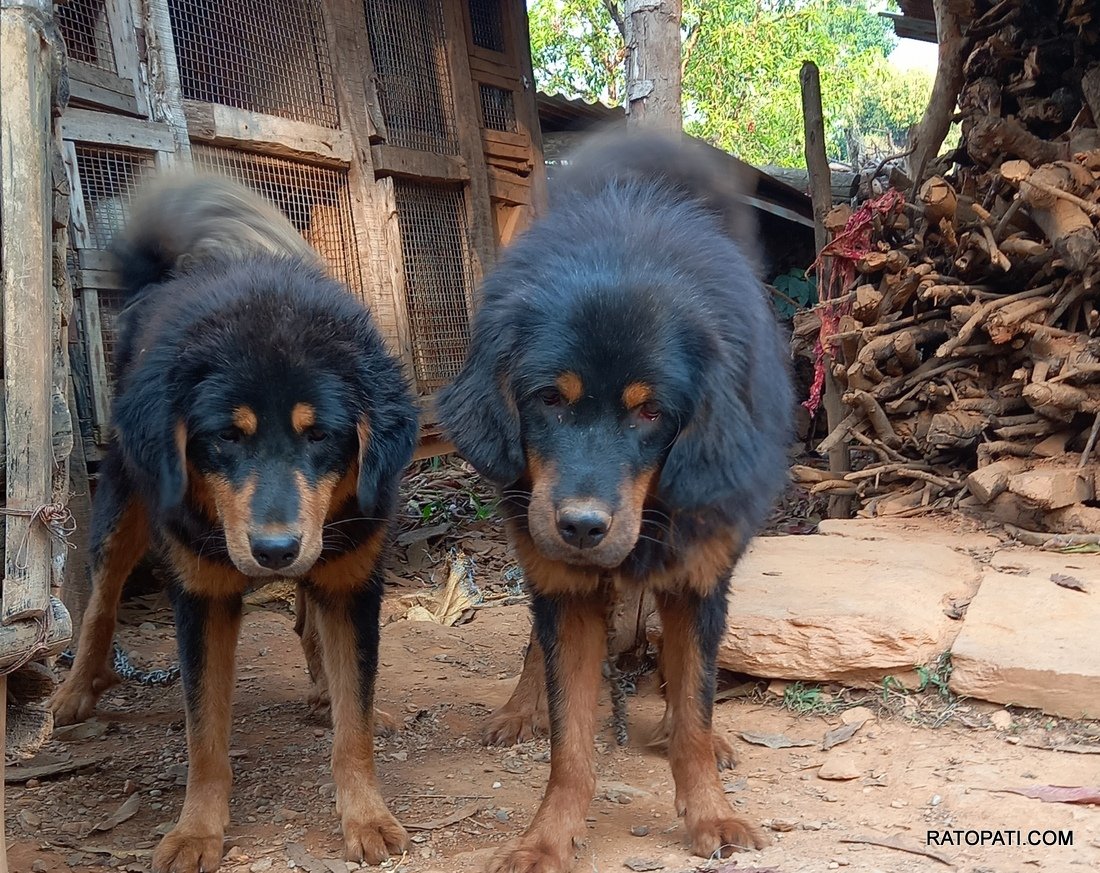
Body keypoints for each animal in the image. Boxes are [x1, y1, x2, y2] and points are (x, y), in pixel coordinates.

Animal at [435, 130, 792, 870]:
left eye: (651, 413)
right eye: (549, 399)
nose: (581, 527)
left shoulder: (698, 582)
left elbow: (694, 709)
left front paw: (710, 811)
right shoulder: (565, 589)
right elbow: (567, 739)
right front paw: (547, 835)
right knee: (535, 650)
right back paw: (519, 709)